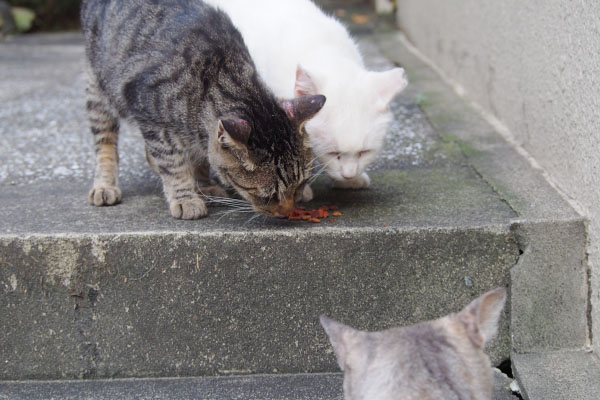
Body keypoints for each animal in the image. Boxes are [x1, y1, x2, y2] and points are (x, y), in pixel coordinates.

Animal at [81, 0, 324, 219]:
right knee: (105, 144)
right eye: (268, 194)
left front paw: (203, 184)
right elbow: (173, 164)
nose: (287, 212)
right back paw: (105, 185)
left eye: (301, 183)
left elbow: (199, 156)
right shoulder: (152, 119)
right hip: (98, 89)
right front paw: (185, 197)